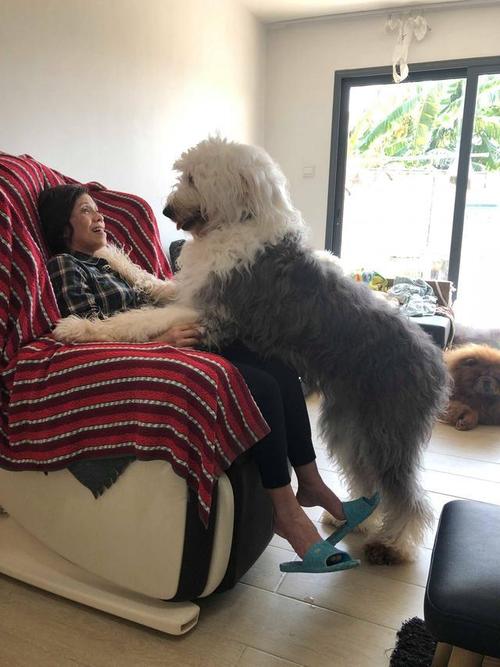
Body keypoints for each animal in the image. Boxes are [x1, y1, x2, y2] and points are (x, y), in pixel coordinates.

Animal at [54, 137, 449, 564]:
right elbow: (147, 280)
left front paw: (78, 328)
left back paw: (394, 544)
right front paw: (106, 252)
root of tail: (435, 361)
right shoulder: (186, 291)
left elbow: (135, 321)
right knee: (367, 475)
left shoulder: (203, 311)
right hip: (350, 425)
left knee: (406, 495)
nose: (168, 209)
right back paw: (356, 519)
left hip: (388, 430)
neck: (236, 224)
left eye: (193, 178)